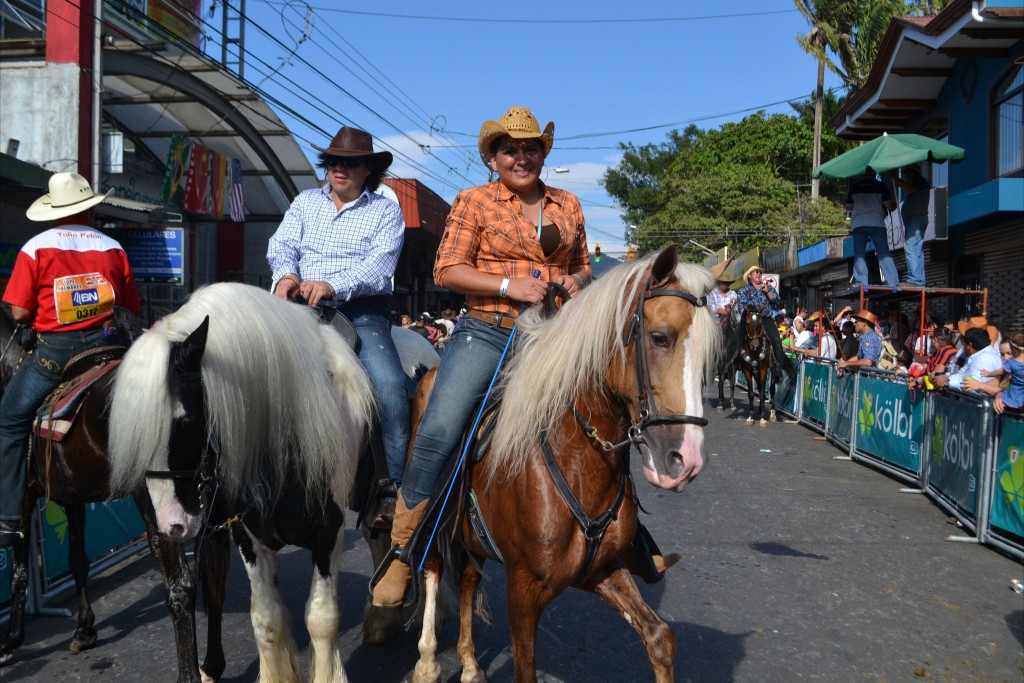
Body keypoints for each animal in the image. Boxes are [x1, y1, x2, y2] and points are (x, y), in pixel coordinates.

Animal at [107, 280, 376, 679]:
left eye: (187, 421)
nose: (171, 526)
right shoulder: (248, 536)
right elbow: (267, 621)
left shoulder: (330, 531)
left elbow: (321, 619)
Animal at [405, 246, 712, 683]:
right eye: (660, 338)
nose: (686, 459)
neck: (579, 461)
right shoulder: (524, 589)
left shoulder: (600, 570)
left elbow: (660, 638)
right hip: (432, 494)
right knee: (431, 564)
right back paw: (428, 662)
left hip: (470, 533)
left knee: (467, 578)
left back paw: (469, 664)